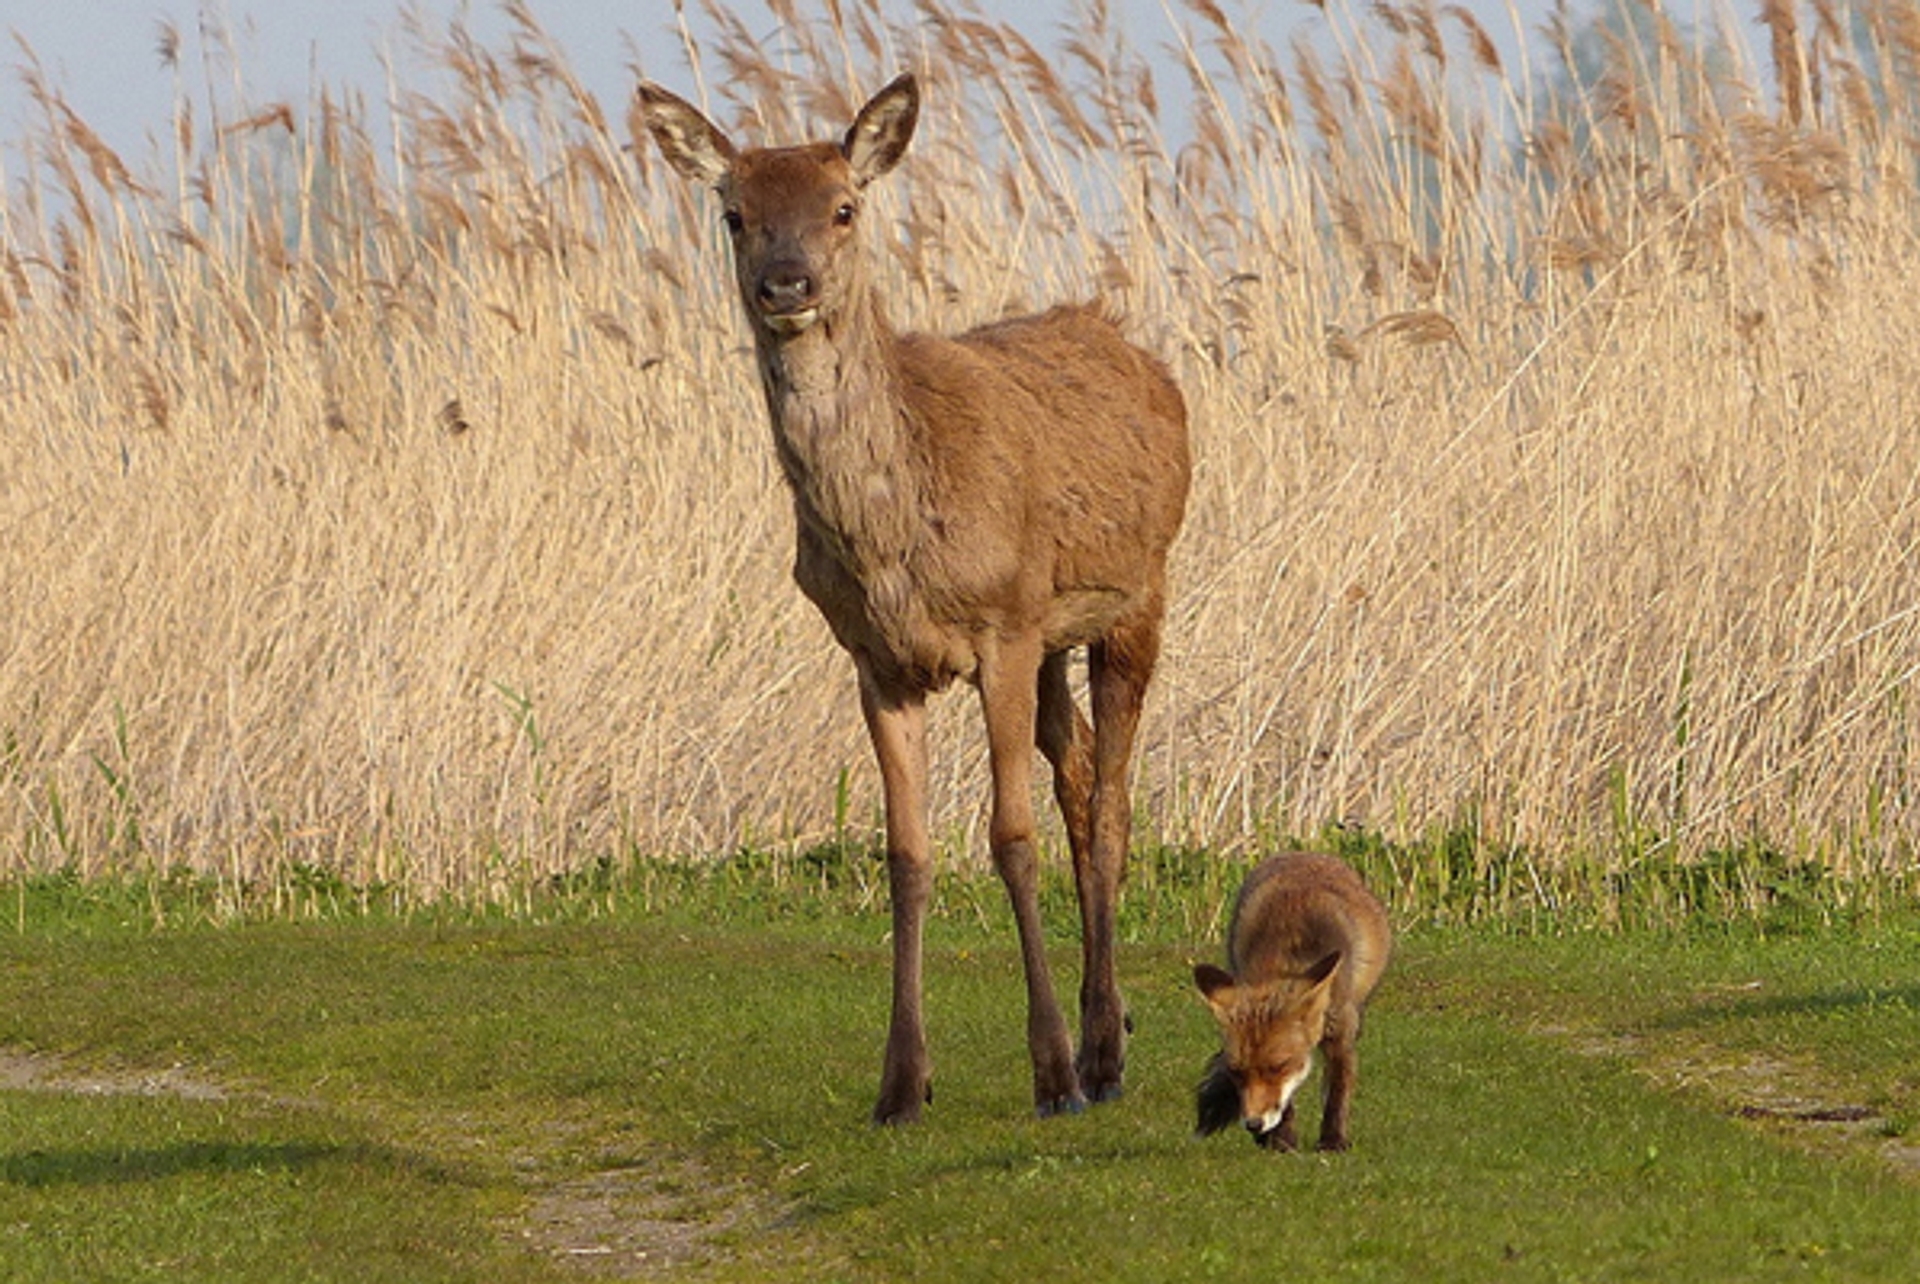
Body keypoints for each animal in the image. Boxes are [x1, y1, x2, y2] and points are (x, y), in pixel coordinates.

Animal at [637, 72, 1190, 1120]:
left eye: (844, 207)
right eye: (735, 214)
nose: (787, 285)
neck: (897, 545)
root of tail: (1135, 348)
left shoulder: (1002, 624)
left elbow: (1010, 836)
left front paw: (1050, 1073)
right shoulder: (875, 659)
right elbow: (907, 854)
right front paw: (901, 1082)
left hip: (1139, 592)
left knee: (1114, 799)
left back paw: (1101, 1056)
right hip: (1055, 632)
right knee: (1078, 773)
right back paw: (1111, 1026)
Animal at [1190, 852, 1390, 1151]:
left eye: (1278, 1067)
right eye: (1236, 1072)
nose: (1253, 1124)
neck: (1287, 957)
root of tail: (1303, 853)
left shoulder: (1340, 1031)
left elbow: (1338, 1088)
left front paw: (1333, 1140)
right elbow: (1287, 1102)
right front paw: (1281, 1139)